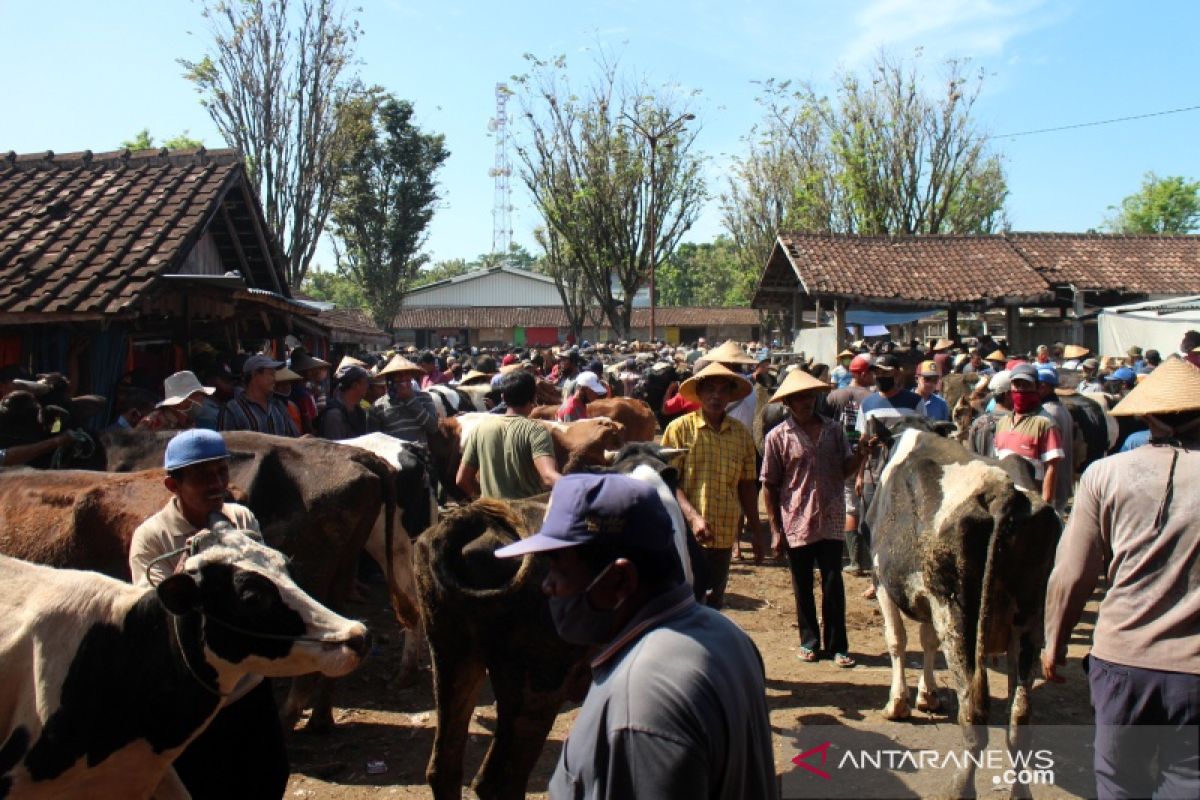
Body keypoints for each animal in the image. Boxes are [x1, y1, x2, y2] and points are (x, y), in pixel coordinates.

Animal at [864, 422, 1060, 796]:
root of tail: (1003, 492)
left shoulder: (883, 581)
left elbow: (897, 641)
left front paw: (898, 703)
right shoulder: (926, 599)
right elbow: (926, 642)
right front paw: (927, 696)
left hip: (956, 616)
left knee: (974, 714)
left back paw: (959, 788)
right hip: (1029, 619)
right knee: (1019, 717)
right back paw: (1019, 791)